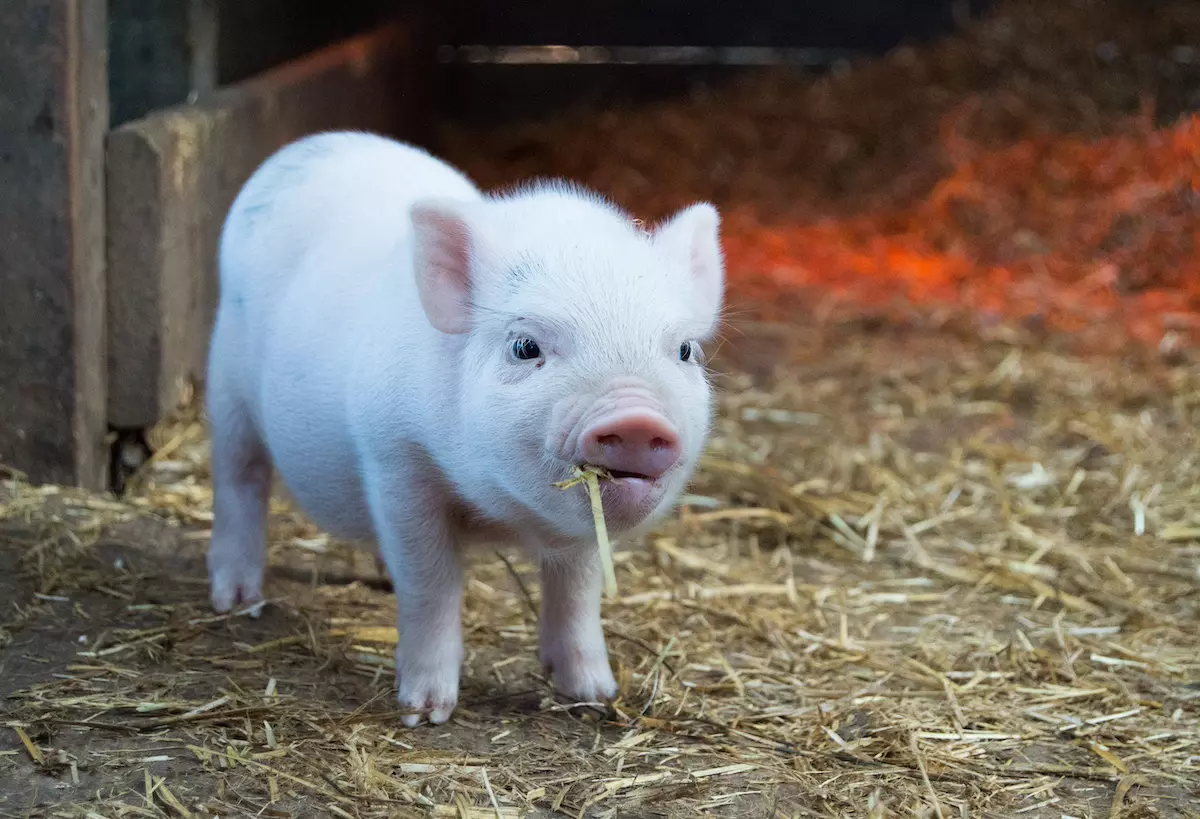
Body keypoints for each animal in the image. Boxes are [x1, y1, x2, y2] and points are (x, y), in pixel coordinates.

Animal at [205, 130, 724, 726]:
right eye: (525, 346)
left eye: (684, 350)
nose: (636, 417)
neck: (501, 514)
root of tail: (310, 145)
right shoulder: (395, 460)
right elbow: (430, 583)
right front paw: (424, 713)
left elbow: (577, 590)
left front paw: (595, 696)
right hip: (226, 384)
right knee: (240, 477)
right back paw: (236, 601)